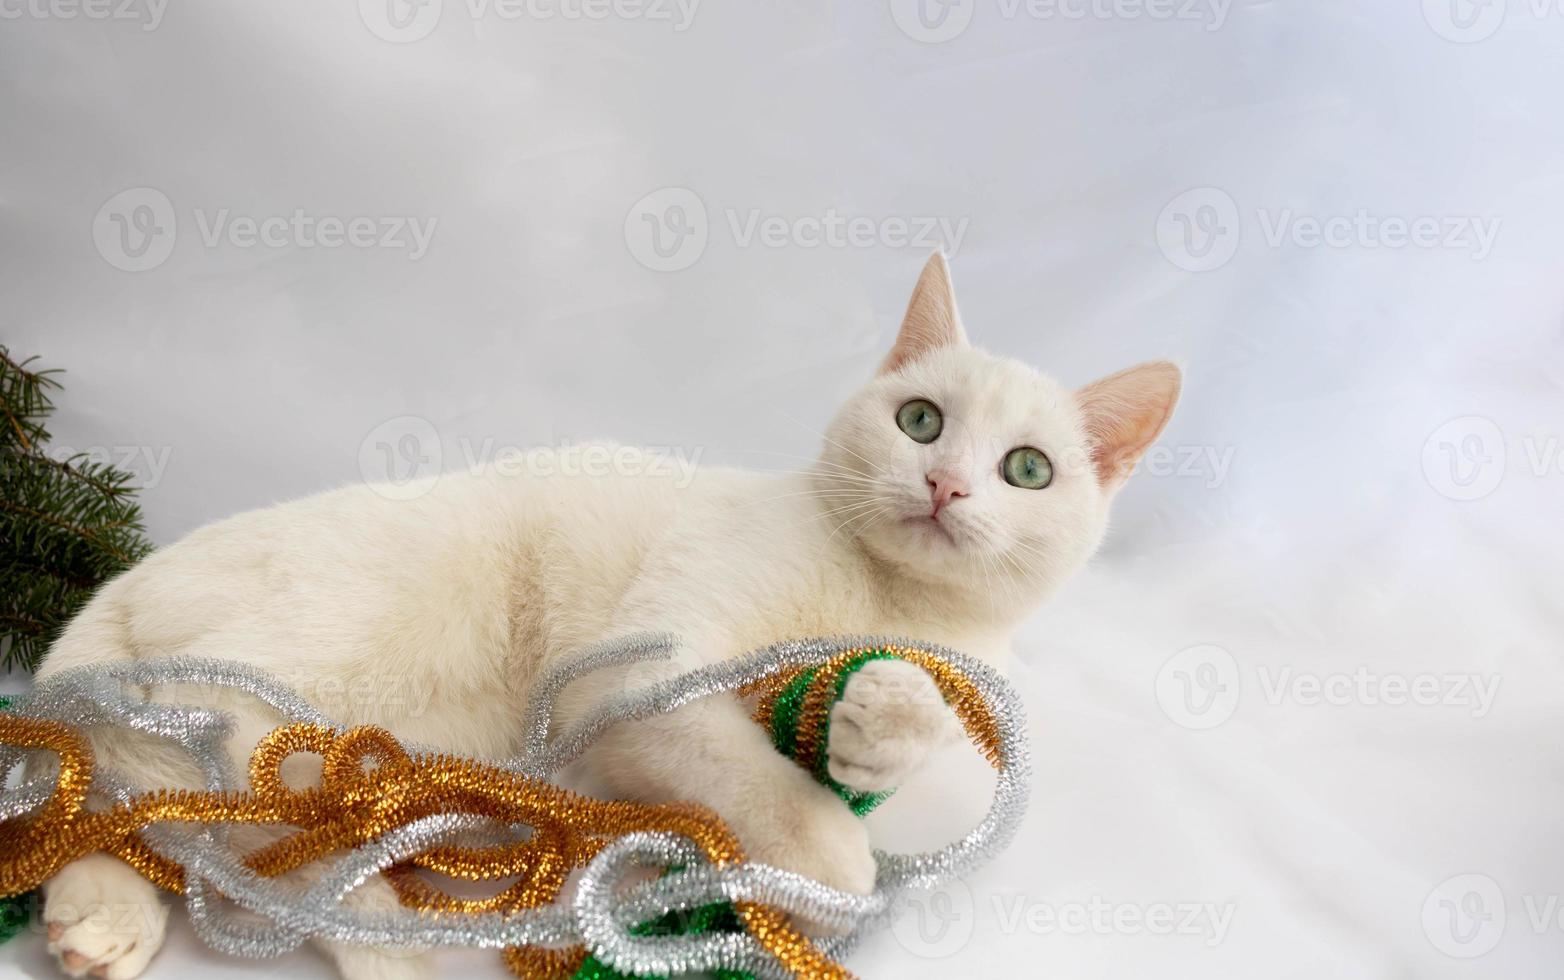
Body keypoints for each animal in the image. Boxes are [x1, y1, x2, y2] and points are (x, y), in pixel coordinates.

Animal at [30, 254, 1176, 980]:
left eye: (1027, 469)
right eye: (921, 420)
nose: (943, 484)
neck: (877, 593)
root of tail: (120, 584)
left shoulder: (954, 664)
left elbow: (902, 717)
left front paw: (875, 720)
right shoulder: (636, 675)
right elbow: (745, 768)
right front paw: (826, 862)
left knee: (138, 812)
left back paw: (97, 921)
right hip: (298, 691)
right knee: (220, 807)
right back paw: (380, 937)